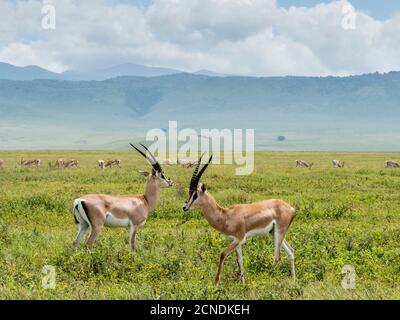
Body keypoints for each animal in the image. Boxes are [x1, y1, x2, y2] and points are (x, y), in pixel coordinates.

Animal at [183, 154, 296, 284]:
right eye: (189, 193)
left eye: (195, 195)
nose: (185, 207)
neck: (226, 216)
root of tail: (291, 208)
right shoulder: (235, 241)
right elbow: (240, 261)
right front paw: (243, 283)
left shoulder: (239, 239)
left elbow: (222, 254)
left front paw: (216, 282)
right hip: (274, 233)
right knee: (291, 251)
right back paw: (293, 280)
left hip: (278, 233)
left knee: (277, 257)